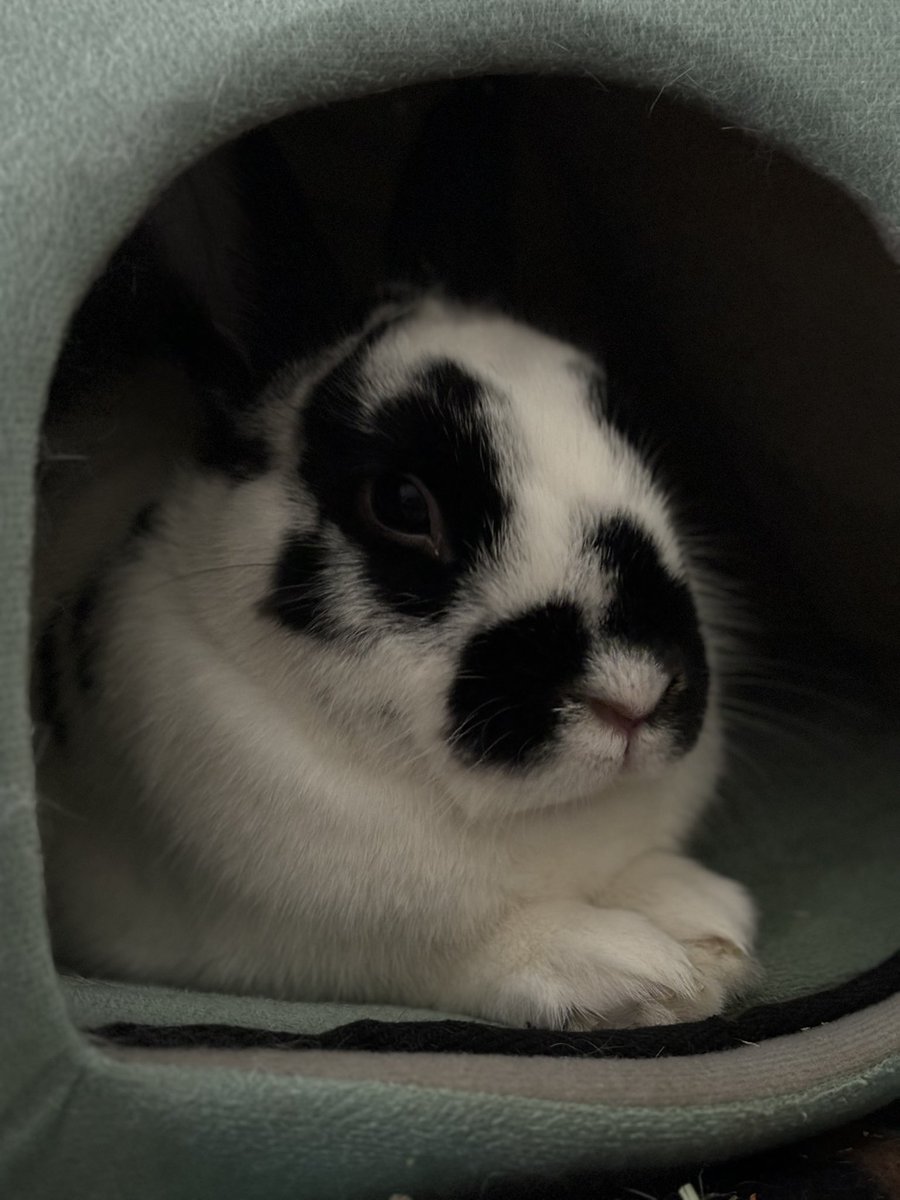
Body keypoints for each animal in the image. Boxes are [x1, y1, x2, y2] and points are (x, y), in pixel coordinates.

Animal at [35, 284, 757, 1031]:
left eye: (651, 471)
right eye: (403, 504)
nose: (635, 691)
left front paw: (706, 922)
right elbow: (441, 954)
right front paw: (643, 974)